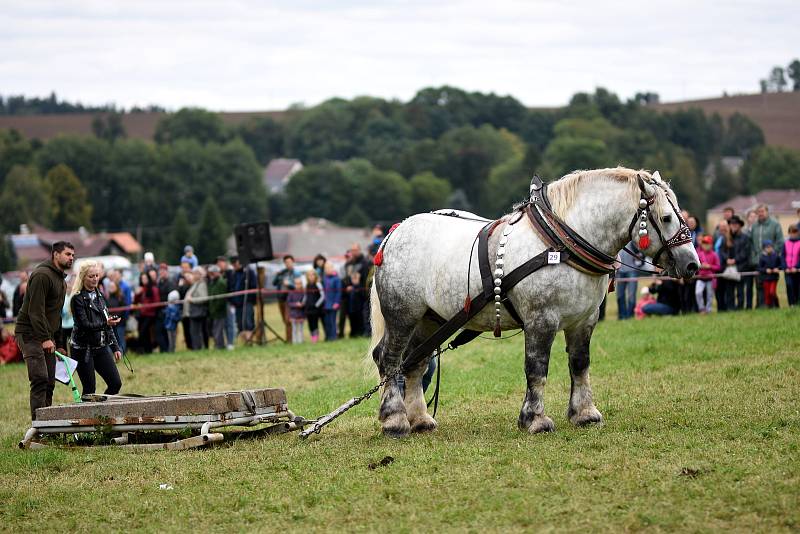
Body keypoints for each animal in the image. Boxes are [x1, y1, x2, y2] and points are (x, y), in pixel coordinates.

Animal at [368, 168, 700, 440]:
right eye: (666, 218)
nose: (692, 265)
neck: (562, 241)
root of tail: (395, 232)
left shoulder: (585, 320)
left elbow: (580, 364)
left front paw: (584, 413)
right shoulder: (541, 319)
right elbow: (537, 367)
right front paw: (535, 419)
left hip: (431, 319)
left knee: (416, 362)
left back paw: (420, 419)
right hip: (403, 315)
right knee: (390, 360)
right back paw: (395, 420)